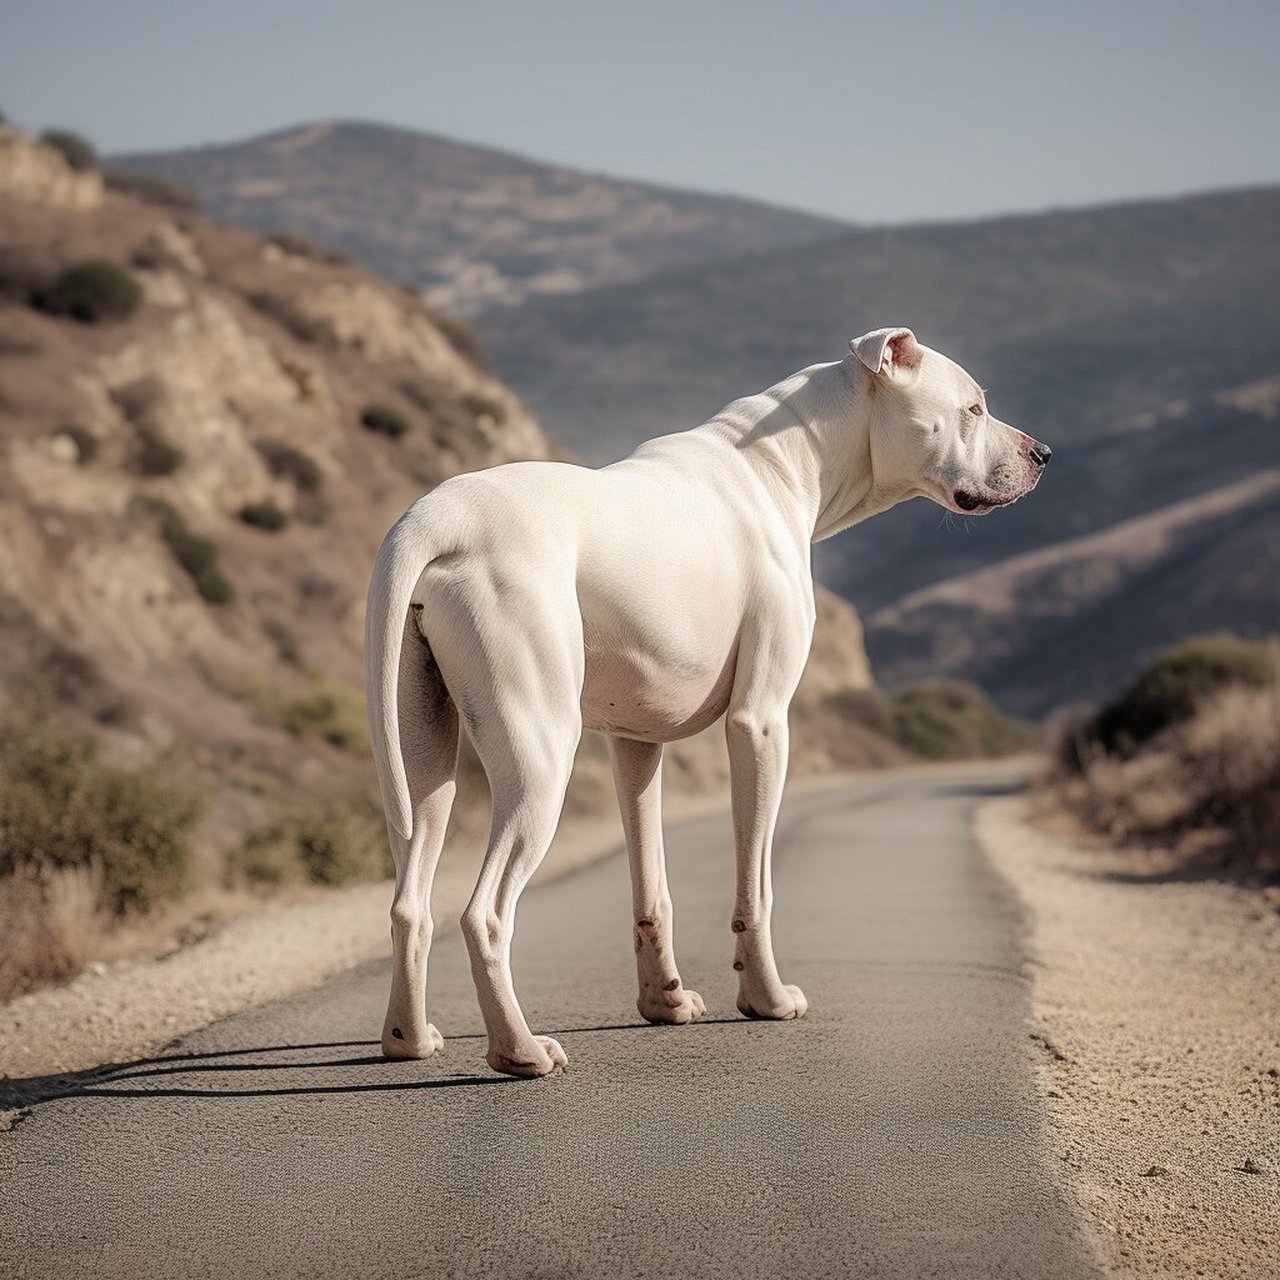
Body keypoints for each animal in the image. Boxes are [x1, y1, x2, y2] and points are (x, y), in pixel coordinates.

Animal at [363, 325, 1049, 1075]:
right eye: (974, 408)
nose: (1043, 454)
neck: (783, 459)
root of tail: (435, 519)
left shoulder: (636, 746)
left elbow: (652, 886)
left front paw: (663, 1001)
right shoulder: (761, 725)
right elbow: (758, 887)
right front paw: (767, 999)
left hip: (423, 766)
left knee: (410, 905)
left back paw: (408, 1038)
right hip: (540, 763)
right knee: (484, 914)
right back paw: (519, 1050)